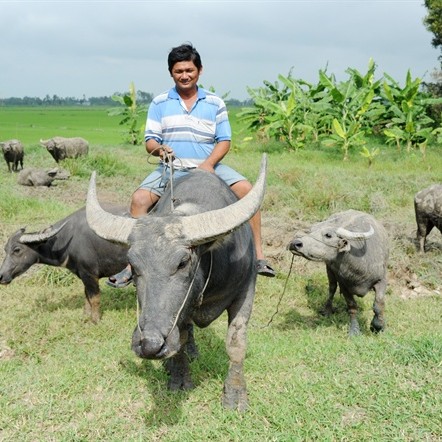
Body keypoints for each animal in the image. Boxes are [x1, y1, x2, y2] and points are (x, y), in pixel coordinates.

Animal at [0, 205, 129, 322]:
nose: (1, 276)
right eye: (5, 249)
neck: (68, 240)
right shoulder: (83, 274)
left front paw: (95, 320)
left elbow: (94, 298)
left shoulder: (90, 274)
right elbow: (86, 296)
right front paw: (85, 316)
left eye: (17, 250)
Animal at [85, 155, 268, 410]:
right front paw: (180, 378)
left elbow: (236, 342)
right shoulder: (178, 314)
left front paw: (235, 394)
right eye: (133, 264)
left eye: (182, 262)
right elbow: (179, 339)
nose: (149, 344)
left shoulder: (245, 291)